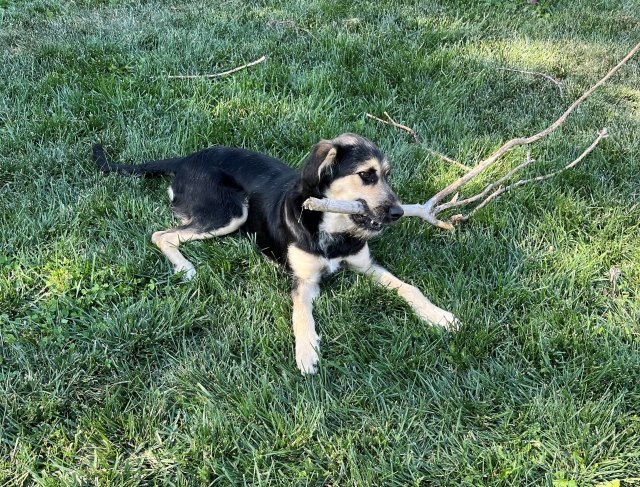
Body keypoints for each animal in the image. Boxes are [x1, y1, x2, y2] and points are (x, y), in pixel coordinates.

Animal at [92, 134, 458, 378]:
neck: (332, 226)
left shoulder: (366, 264)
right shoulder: (303, 281)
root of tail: (185, 159)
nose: (398, 213)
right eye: (366, 174)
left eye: (387, 175)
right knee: (161, 235)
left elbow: (409, 287)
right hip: (230, 212)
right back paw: (185, 267)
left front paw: (438, 315)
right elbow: (301, 314)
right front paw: (306, 350)